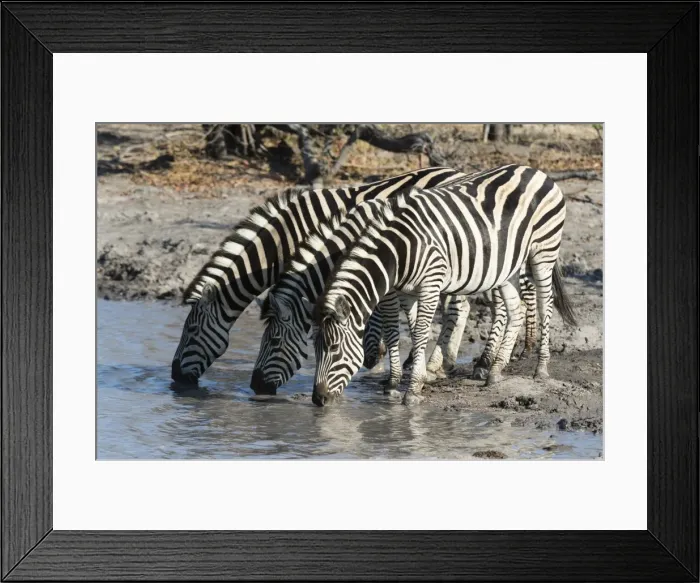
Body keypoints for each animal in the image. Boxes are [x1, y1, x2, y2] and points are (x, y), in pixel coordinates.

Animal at [171, 167, 467, 384]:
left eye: (191, 330)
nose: (174, 376)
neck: (284, 240)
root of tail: (455, 171)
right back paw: (444, 360)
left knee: (457, 305)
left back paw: (436, 362)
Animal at [312, 164, 577, 406]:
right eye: (315, 348)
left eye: (334, 348)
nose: (317, 399)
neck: (398, 251)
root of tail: (535, 170)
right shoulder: (405, 291)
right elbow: (406, 331)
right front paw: (411, 378)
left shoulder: (431, 282)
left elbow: (420, 332)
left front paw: (413, 389)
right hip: (508, 266)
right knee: (516, 311)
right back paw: (495, 371)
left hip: (543, 251)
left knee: (545, 304)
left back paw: (540, 368)